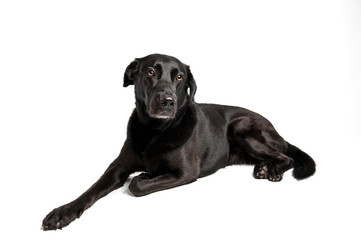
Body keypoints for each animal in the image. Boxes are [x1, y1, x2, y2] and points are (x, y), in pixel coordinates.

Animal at [40, 53, 314, 230]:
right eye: (150, 72)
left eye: (180, 77)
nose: (168, 101)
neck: (155, 132)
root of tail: (275, 127)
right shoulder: (117, 168)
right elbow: (92, 189)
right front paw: (62, 212)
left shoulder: (186, 172)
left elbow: (137, 185)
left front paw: (145, 176)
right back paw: (263, 168)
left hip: (242, 127)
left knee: (286, 156)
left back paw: (273, 170)